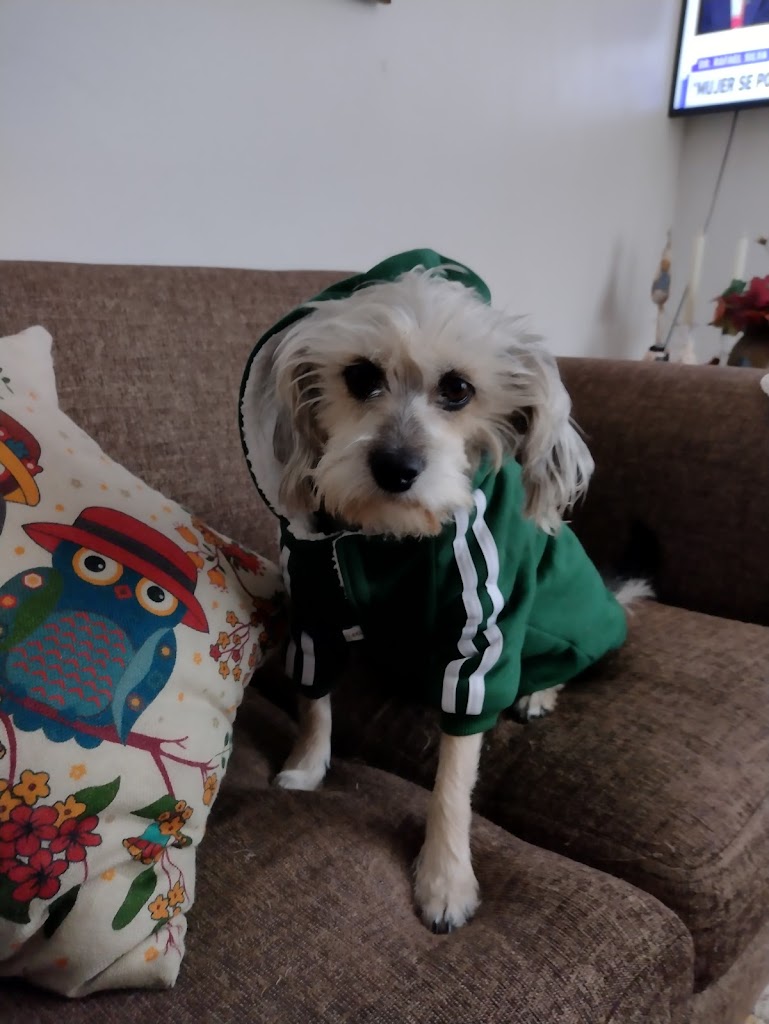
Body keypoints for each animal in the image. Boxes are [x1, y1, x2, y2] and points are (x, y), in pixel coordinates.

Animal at [239, 249, 647, 934]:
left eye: (458, 389)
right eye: (360, 375)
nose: (396, 468)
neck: (387, 537)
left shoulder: (480, 636)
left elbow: (455, 775)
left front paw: (445, 877)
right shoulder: (314, 613)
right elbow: (315, 701)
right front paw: (306, 765)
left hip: (565, 619)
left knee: (566, 660)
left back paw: (539, 692)